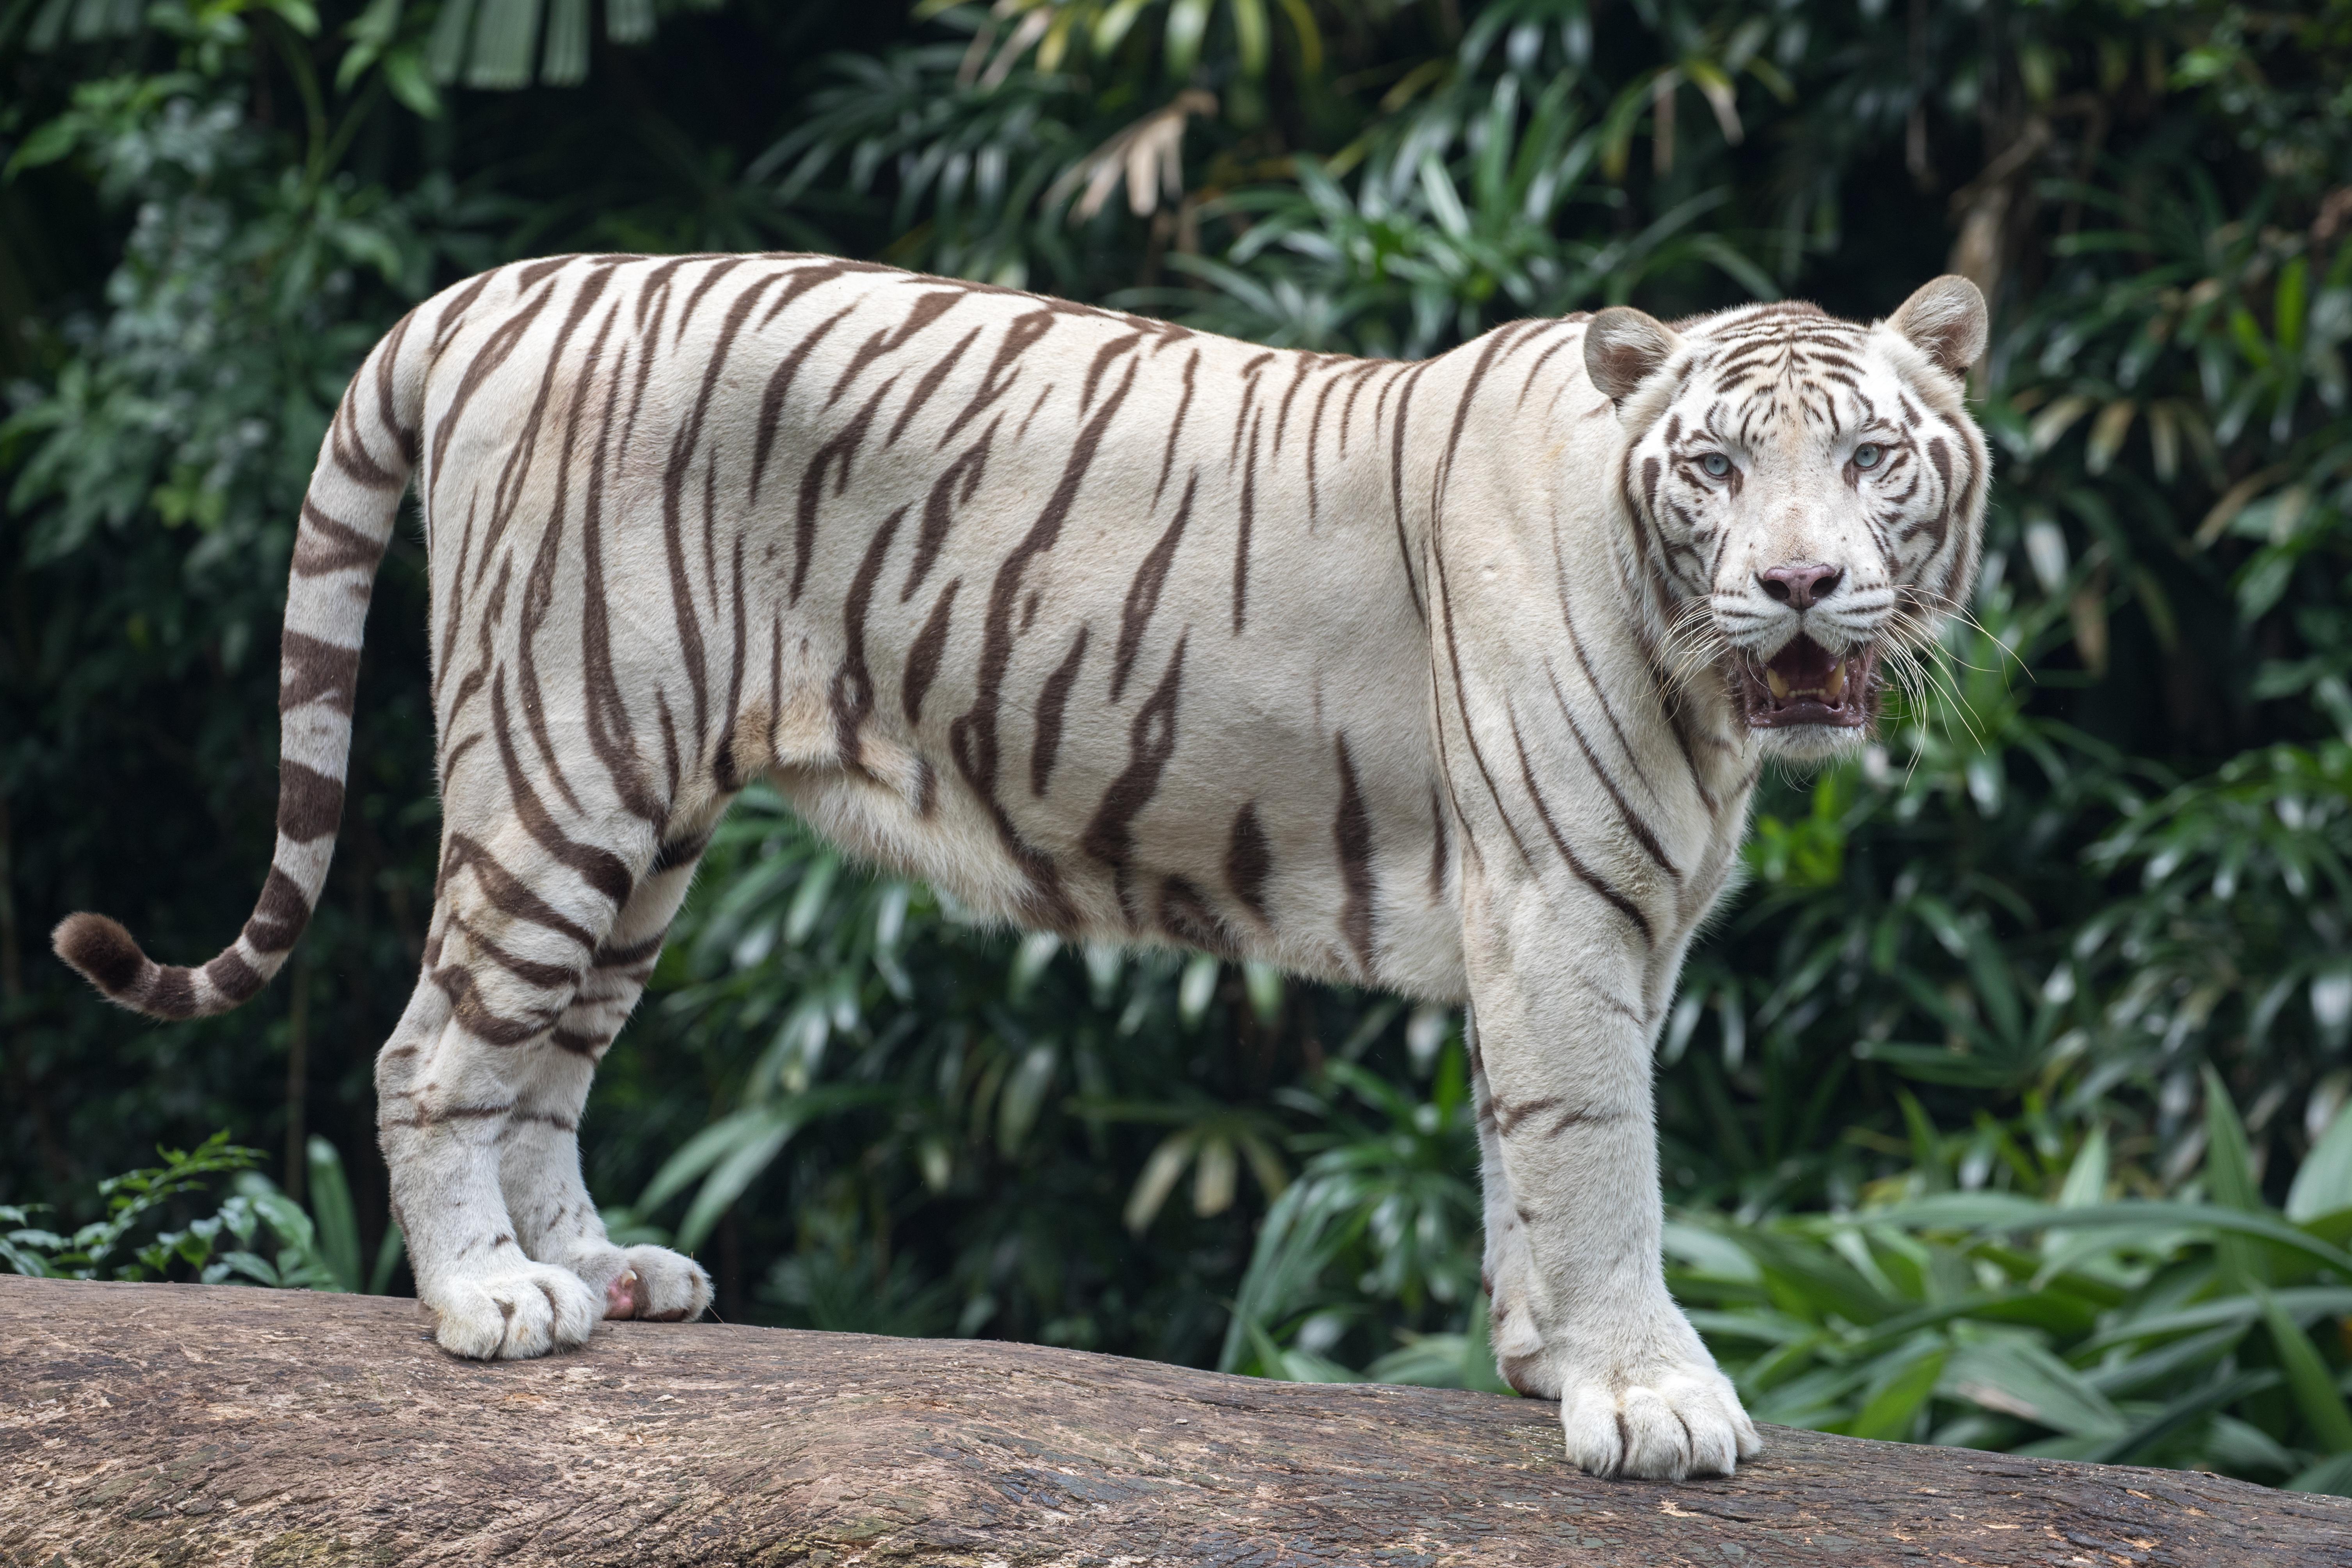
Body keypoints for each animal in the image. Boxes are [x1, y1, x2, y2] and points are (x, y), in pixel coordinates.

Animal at [59, 251, 1985, 1476]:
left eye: (1869, 459)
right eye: (1715, 467)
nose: (1799, 587)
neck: (1707, 696)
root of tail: (493, 291)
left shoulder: (1579, 927)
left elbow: (1524, 1154)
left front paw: (1538, 1363)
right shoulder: (1560, 907)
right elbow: (1600, 1161)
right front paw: (1650, 1403)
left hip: (648, 819)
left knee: (543, 1064)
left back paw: (603, 1275)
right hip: (565, 764)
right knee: (432, 1050)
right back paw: (488, 1302)